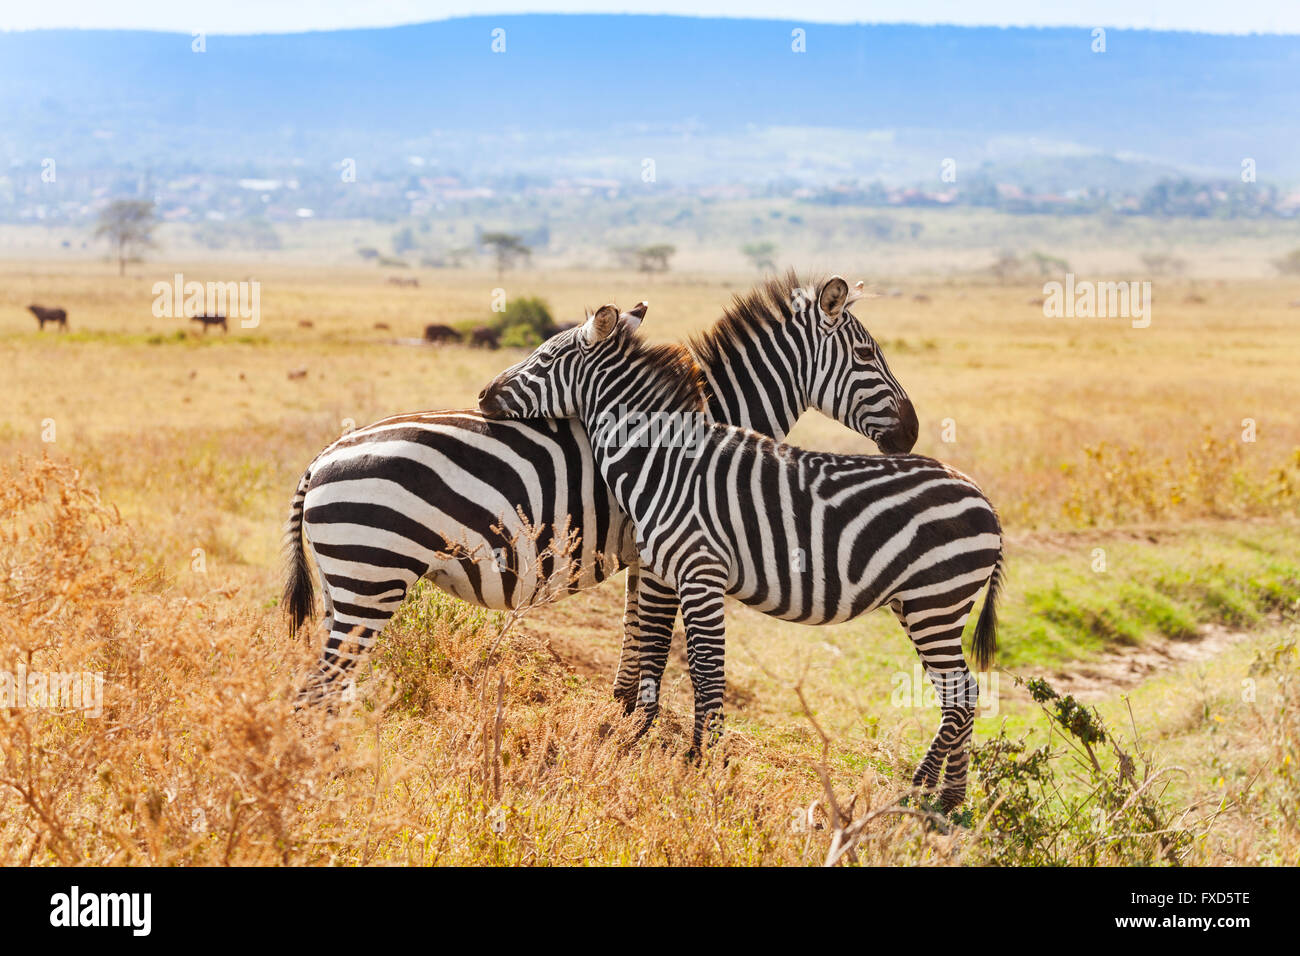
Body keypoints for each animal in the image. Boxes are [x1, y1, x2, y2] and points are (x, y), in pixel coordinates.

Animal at [287, 270, 915, 712]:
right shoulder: (668, 555)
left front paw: (618, 719)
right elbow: (655, 645)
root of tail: (320, 458)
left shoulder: (647, 555)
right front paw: (638, 734)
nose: (910, 433)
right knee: (318, 689)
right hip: (372, 574)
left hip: (350, 584)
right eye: (867, 355)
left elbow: (635, 639)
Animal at [478, 287, 1003, 811]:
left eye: (545, 358)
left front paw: (700, 761)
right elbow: (654, 649)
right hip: (920, 605)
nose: (483, 395)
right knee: (962, 692)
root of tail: (986, 500)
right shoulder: (664, 569)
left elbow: (702, 670)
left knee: (960, 693)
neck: (664, 461)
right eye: (866, 354)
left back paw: (917, 793)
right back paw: (947, 798)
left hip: (935, 601)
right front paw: (648, 737)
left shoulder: (697, 572)